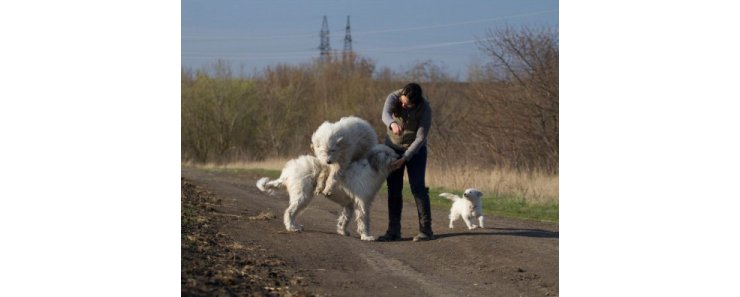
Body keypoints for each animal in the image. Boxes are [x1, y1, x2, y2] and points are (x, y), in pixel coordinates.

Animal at [256, 144, 398, 240]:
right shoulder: (362, 203)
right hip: (303, 195)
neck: (371, 168)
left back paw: (296, 226)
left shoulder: (349, 204)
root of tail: (288, 172)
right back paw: (292, 228)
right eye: (387, 154)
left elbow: (344, 219)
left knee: (293, 212)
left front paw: (342, 231)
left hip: (303, 196)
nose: (399, 156)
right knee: (289, 212)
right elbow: (364, 220)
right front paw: (366, 236)